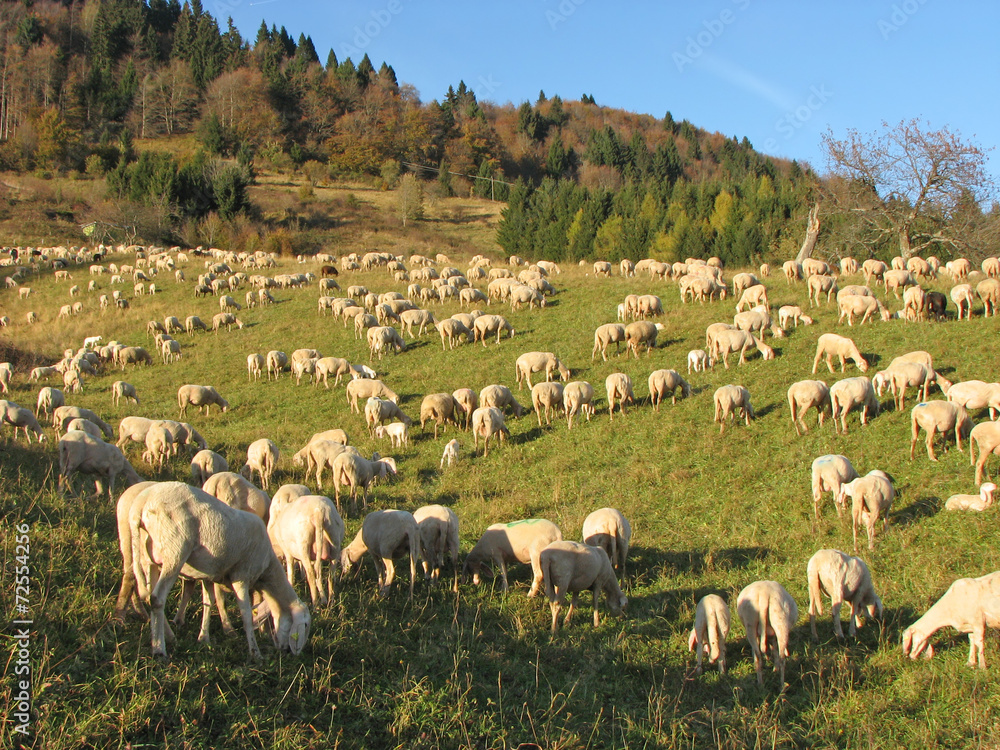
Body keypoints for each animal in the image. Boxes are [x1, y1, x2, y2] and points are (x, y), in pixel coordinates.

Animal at [130, 482, 310, 659]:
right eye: (306, 624)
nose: (289, 652)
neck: (267, 568)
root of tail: (142, 503)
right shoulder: (241, 575)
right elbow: (246, 614)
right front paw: (255, 653)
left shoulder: (208, 575)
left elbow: (208, 602)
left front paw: (204, 638)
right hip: (175, 551)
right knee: (157, 598)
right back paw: (159, 648)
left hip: (149, 558)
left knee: (149, 594)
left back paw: (168, 636)